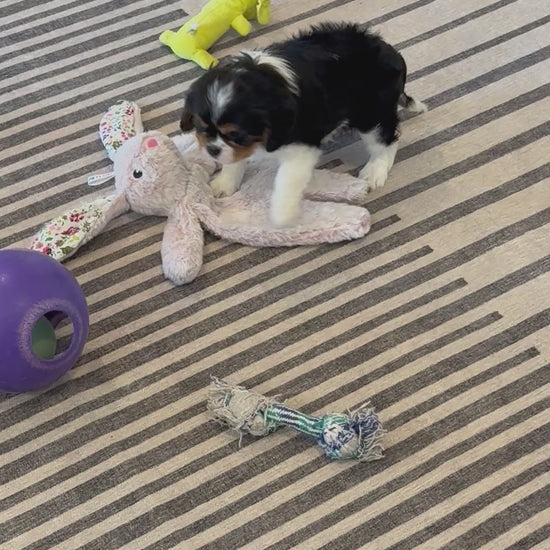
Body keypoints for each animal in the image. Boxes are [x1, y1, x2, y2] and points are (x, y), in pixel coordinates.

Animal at [180, 22, 426, 226]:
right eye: (201, 128)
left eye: (237, 134)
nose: (212, 150)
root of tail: (392, 52)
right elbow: (233, 159)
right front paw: (224, 183)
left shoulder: (301, 145)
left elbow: (286, 181)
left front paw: (281, 216)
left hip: (371, 112)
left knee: (386, 140)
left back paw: (375, 171)